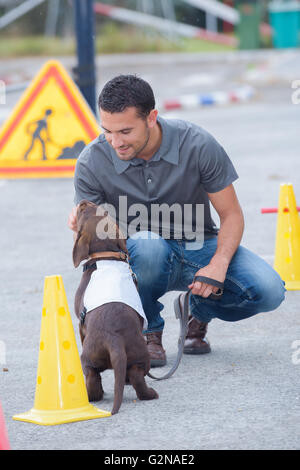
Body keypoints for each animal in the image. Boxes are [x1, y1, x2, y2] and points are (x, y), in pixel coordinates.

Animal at [73, 200, 158, 414]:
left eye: (82, 211)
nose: (83, 201)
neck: (106, 256)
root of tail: (115, 339)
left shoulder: (80, 323)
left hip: (91, 358)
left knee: (98, 379)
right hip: (131, 358)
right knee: (131, 376)